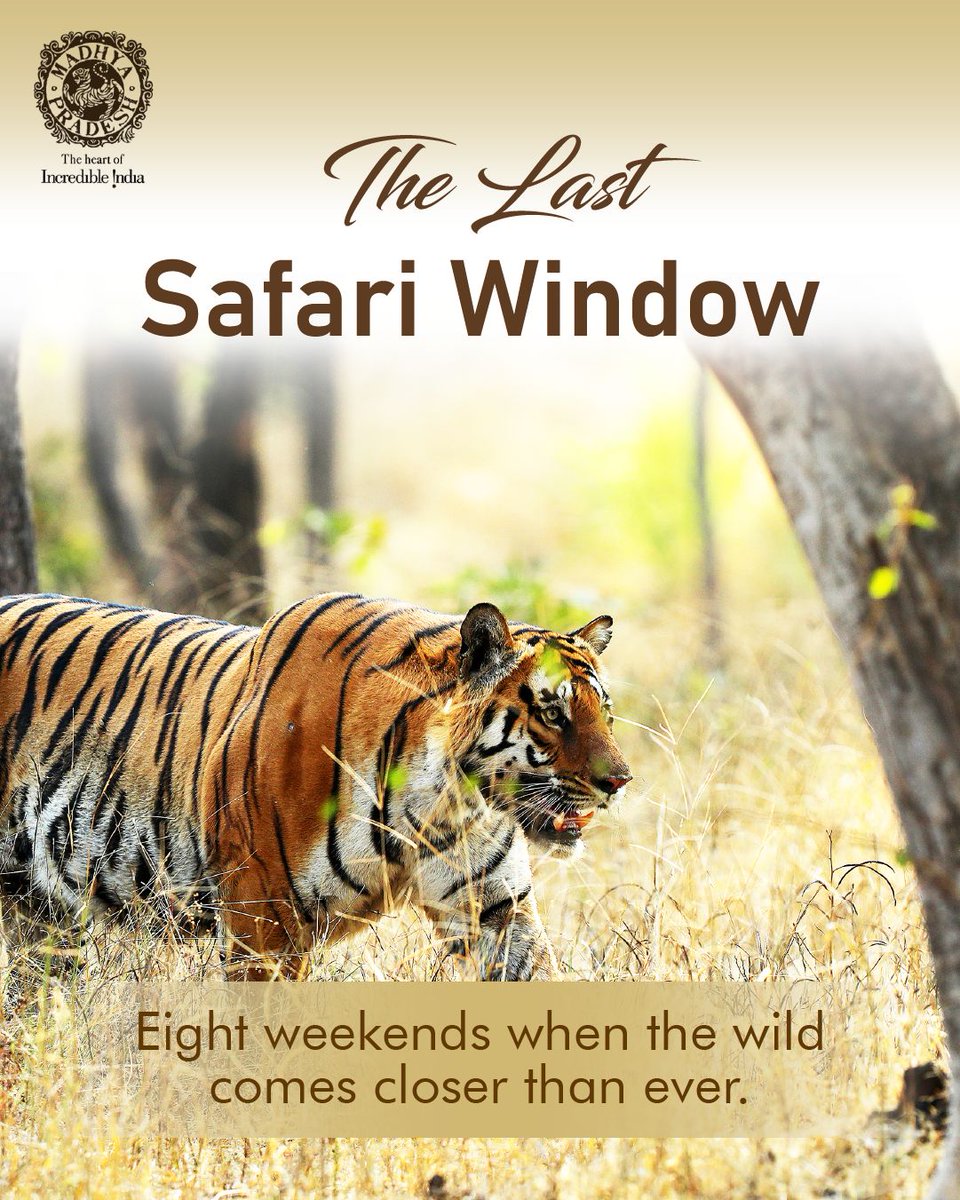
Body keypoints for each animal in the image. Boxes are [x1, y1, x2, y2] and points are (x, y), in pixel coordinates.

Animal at [0, 591, 631, 981]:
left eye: (604, 712)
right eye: (553, 714)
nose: (620, 781)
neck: (441, 801)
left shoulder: (495, 906)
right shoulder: (263, 916)